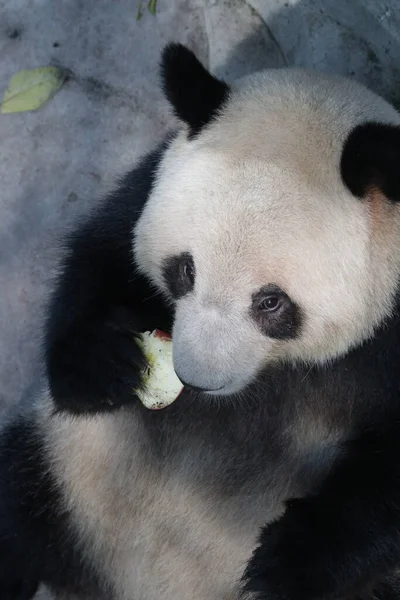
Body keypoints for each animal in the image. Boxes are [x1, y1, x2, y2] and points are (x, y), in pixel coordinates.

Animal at [1, 42, 400, 600]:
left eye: (271, 303)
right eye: (185, 270)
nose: (195, 379)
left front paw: (287, 563)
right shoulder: (148, 187)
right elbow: (101, 258)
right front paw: (107, 365)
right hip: (68, 473)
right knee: (16, 504)